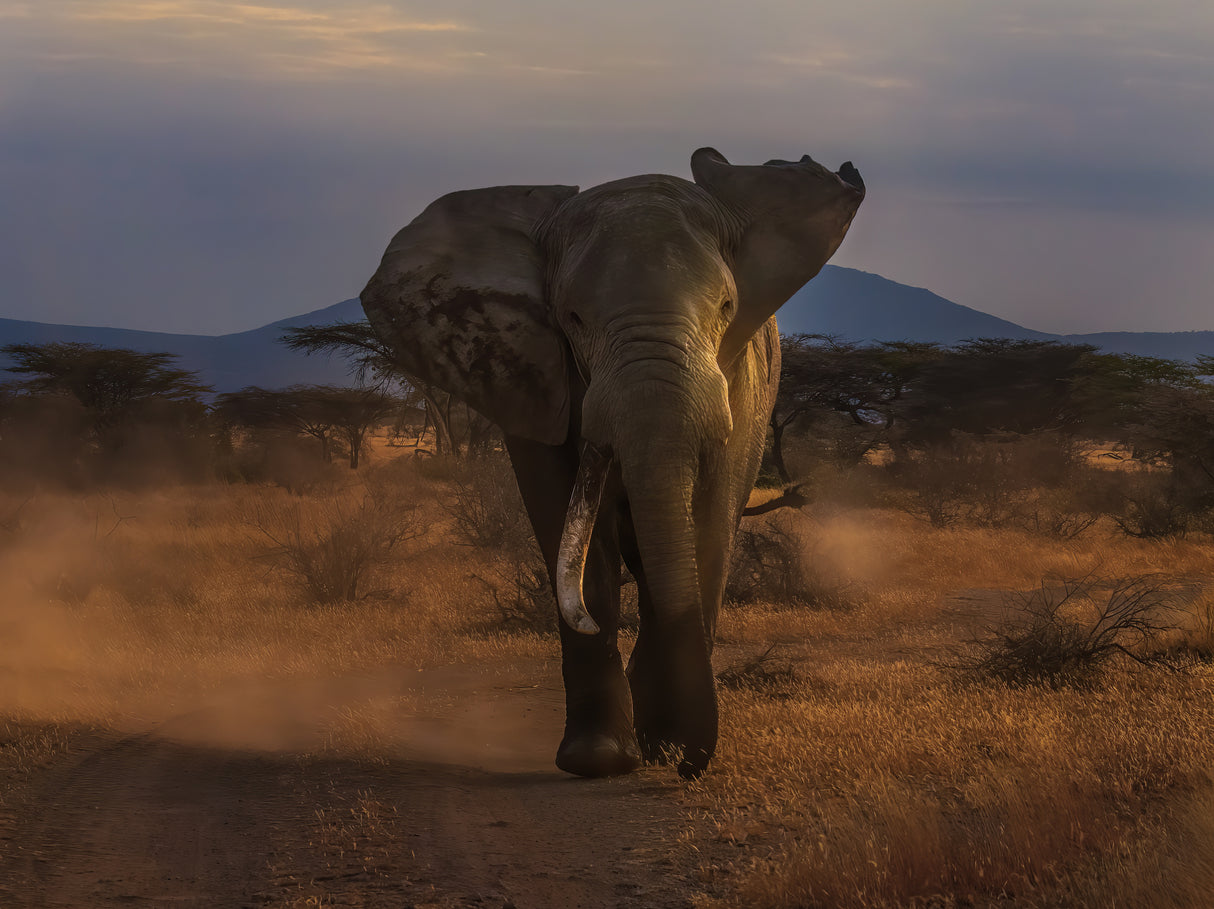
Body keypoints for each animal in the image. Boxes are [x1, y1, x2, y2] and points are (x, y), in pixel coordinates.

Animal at [360, 147, 864, 780]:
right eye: (573, 317)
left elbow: (707, 529)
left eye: (727, 308)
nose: (686, 764)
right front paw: (599, 759)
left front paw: (665, 745)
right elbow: (569, 527)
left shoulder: (740, 391)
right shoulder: (531, 375)